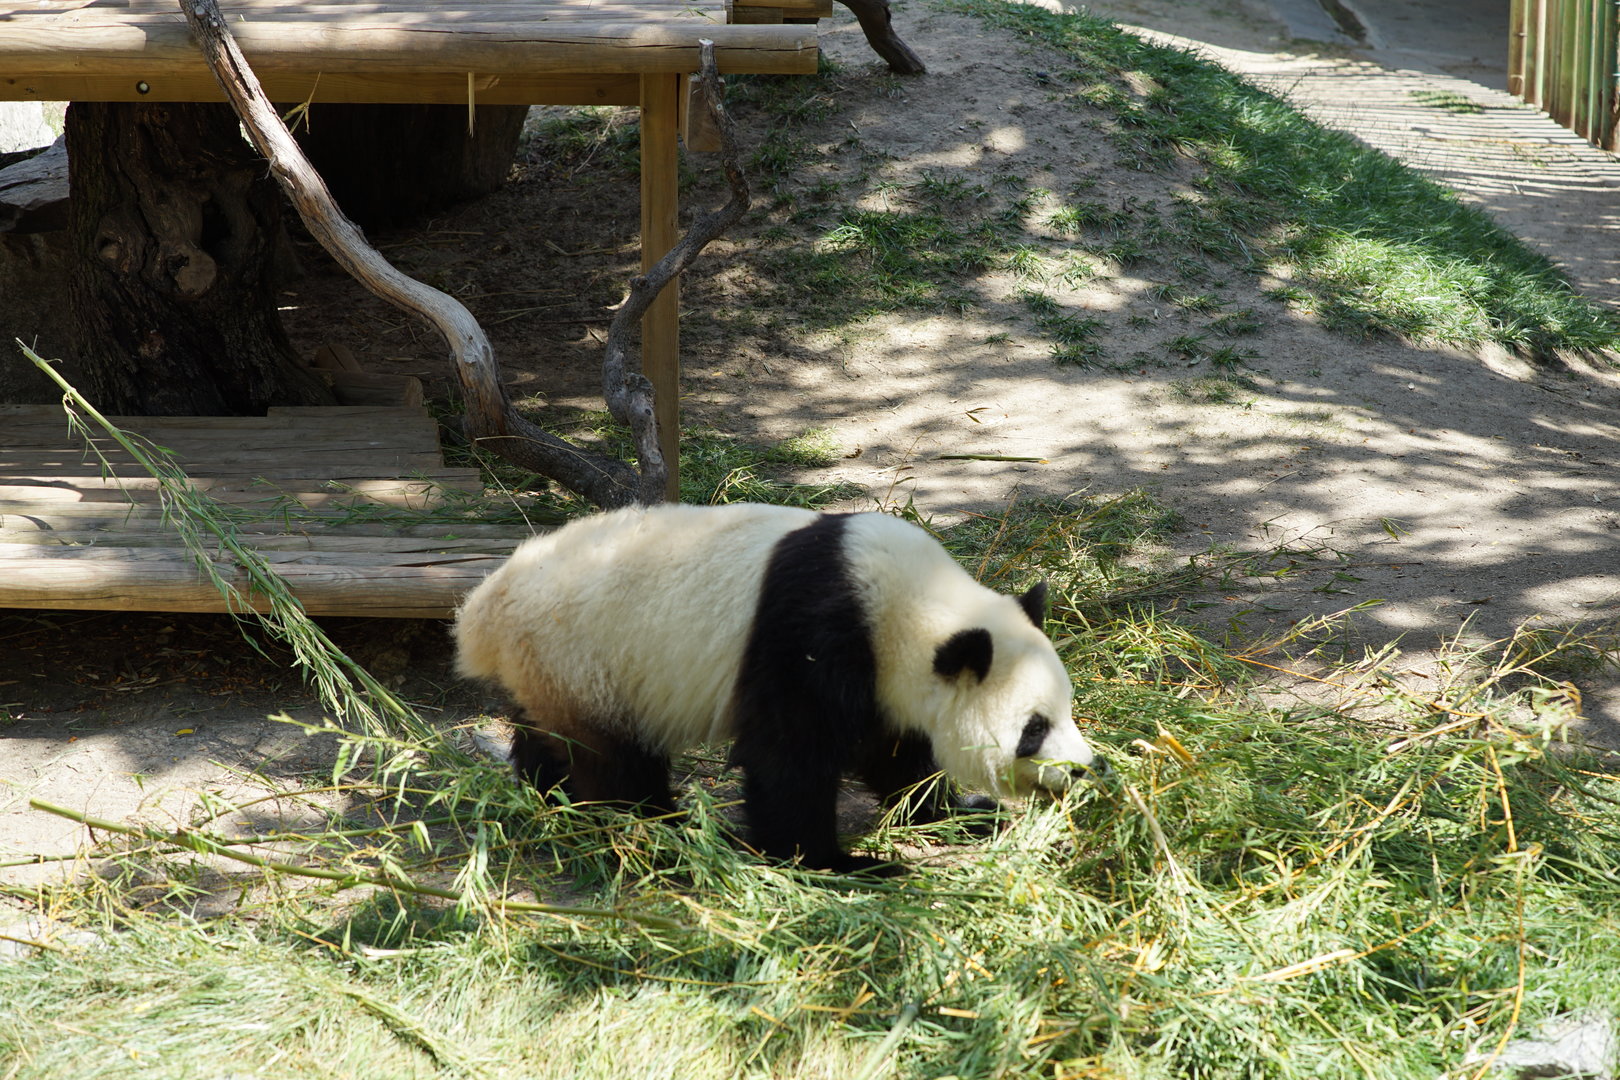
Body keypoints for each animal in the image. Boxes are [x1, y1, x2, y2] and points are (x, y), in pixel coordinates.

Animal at [453, 502, 1099, 873]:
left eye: (1068, 710)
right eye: (1034, 729)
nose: (1085, 769)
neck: (907, 603)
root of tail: (485, 611)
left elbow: (892, 752)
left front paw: (960, 814)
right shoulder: (815, 634)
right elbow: (790, 754)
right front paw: (842, 864)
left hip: (550, 671)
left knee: (544, 734)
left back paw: (547, 794)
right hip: (588, 660)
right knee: (615, 764)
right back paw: (662, 834)